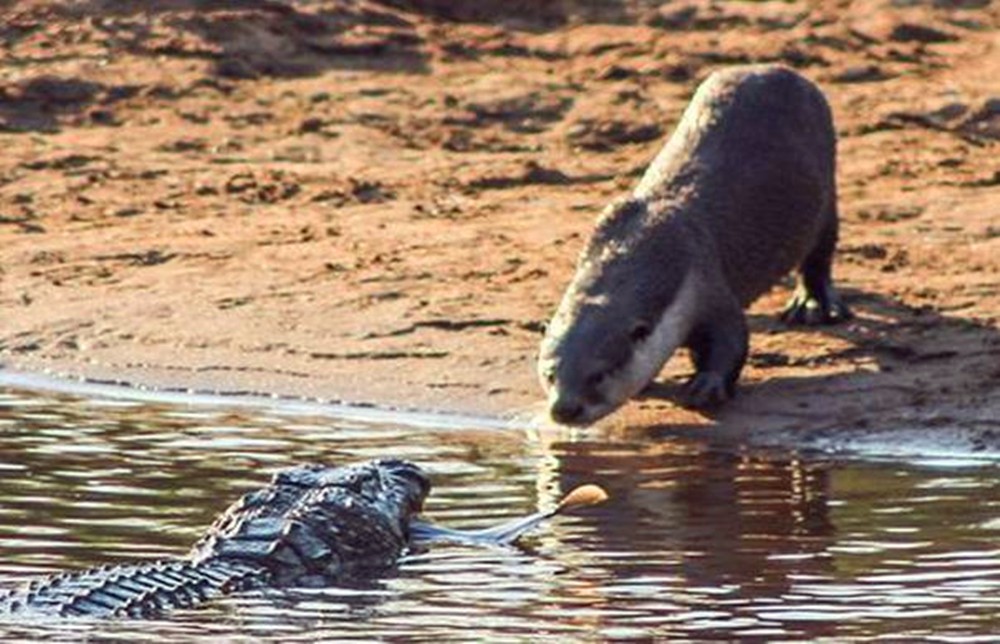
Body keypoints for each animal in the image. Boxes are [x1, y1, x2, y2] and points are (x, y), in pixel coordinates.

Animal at [540, 65, 852, 426]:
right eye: (551, 374)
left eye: (599, 375)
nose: (564, 408)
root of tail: (783, 71)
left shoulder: (705, 278)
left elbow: (732, 337)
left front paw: (707, 386)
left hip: (827, 187)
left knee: (820, 250)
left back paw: (813, 305)